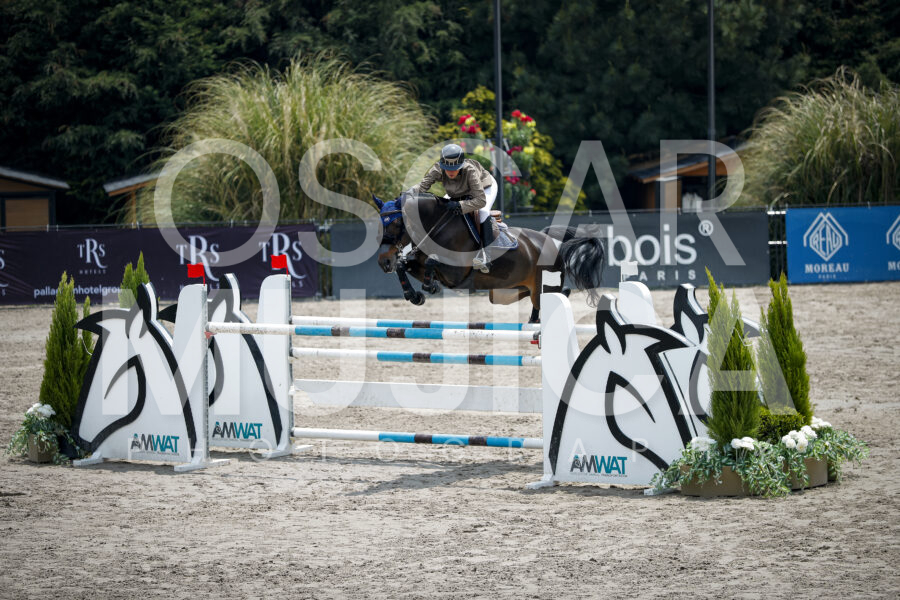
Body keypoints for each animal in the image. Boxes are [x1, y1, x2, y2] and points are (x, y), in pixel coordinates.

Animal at [374, 192, 605, 323]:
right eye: (380, 224)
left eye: (397, 223)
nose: (384, 262)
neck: (437, 226)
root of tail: (548, 241)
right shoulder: (419, 262)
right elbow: (403, 265)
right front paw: (414, 295)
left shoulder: (456, 272)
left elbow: (432, 260)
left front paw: (430, 287)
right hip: (507, 292)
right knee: (550, 296)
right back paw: (533, 321)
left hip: (541, 285)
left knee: (554, 295)